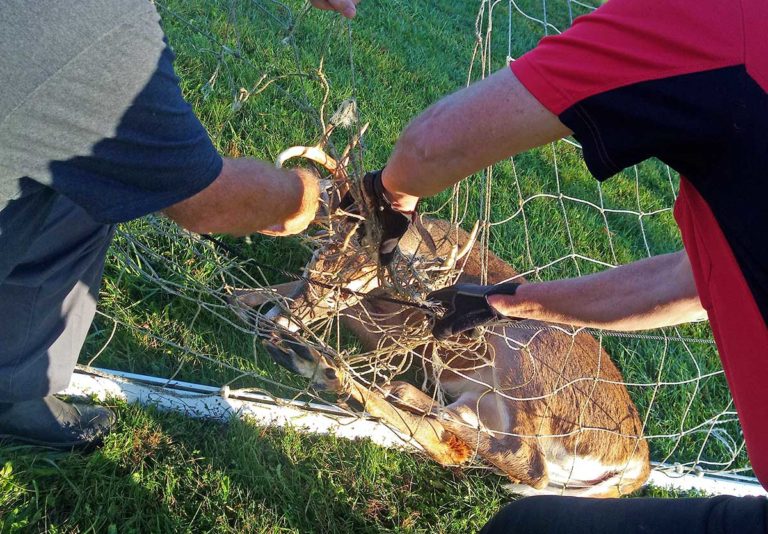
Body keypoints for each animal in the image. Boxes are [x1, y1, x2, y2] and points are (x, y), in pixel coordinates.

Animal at [234, 129, 650, 498]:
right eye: (316, 257)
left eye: (351, 288)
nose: (280, 322)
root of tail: (637, 464)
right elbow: (264, 291)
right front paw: (244, 296)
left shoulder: (397, 330)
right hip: (481, 398)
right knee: (450, 439)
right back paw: (386, 387)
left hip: (522, 355)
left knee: (528, 462)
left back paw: (323, 366)